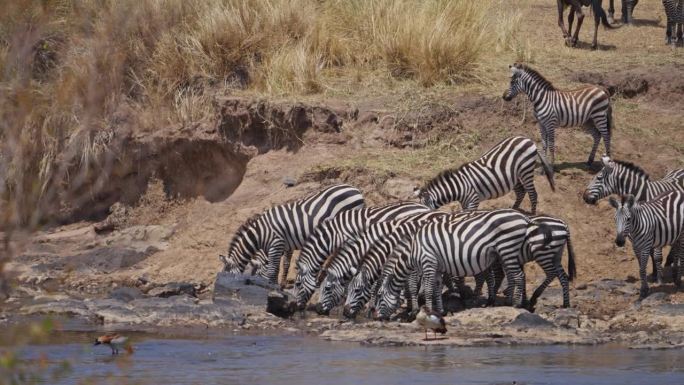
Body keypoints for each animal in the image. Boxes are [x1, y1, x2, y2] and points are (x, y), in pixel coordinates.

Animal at [222, 183, 366, 284]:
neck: (260, 234)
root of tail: (356, 190)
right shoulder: (285, 245)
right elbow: (283, 265)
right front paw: (281, 284)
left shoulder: (276, 243)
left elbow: (273, 269)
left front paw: (272, 285)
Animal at [372, 207, 552, 318]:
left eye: (380, 296)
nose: (378, 318)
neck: (413, 250)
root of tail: (524, 217)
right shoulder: (438, 268)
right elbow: (436, 290)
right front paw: (441, 311)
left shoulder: (429, 263)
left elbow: (429, 290)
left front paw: (428, 311)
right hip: (507, 251)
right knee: (514, 275)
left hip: (507, 248)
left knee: (519, 275)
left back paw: (516, 305)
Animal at [412, 135, 556, 213]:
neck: (459, 187)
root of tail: (528, 140)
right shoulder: (465, 203)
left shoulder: (473, 200)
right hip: (514, 175)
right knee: (521, 192)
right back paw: (514, 209)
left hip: (526, 170)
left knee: (533, 194)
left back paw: (532, 215)